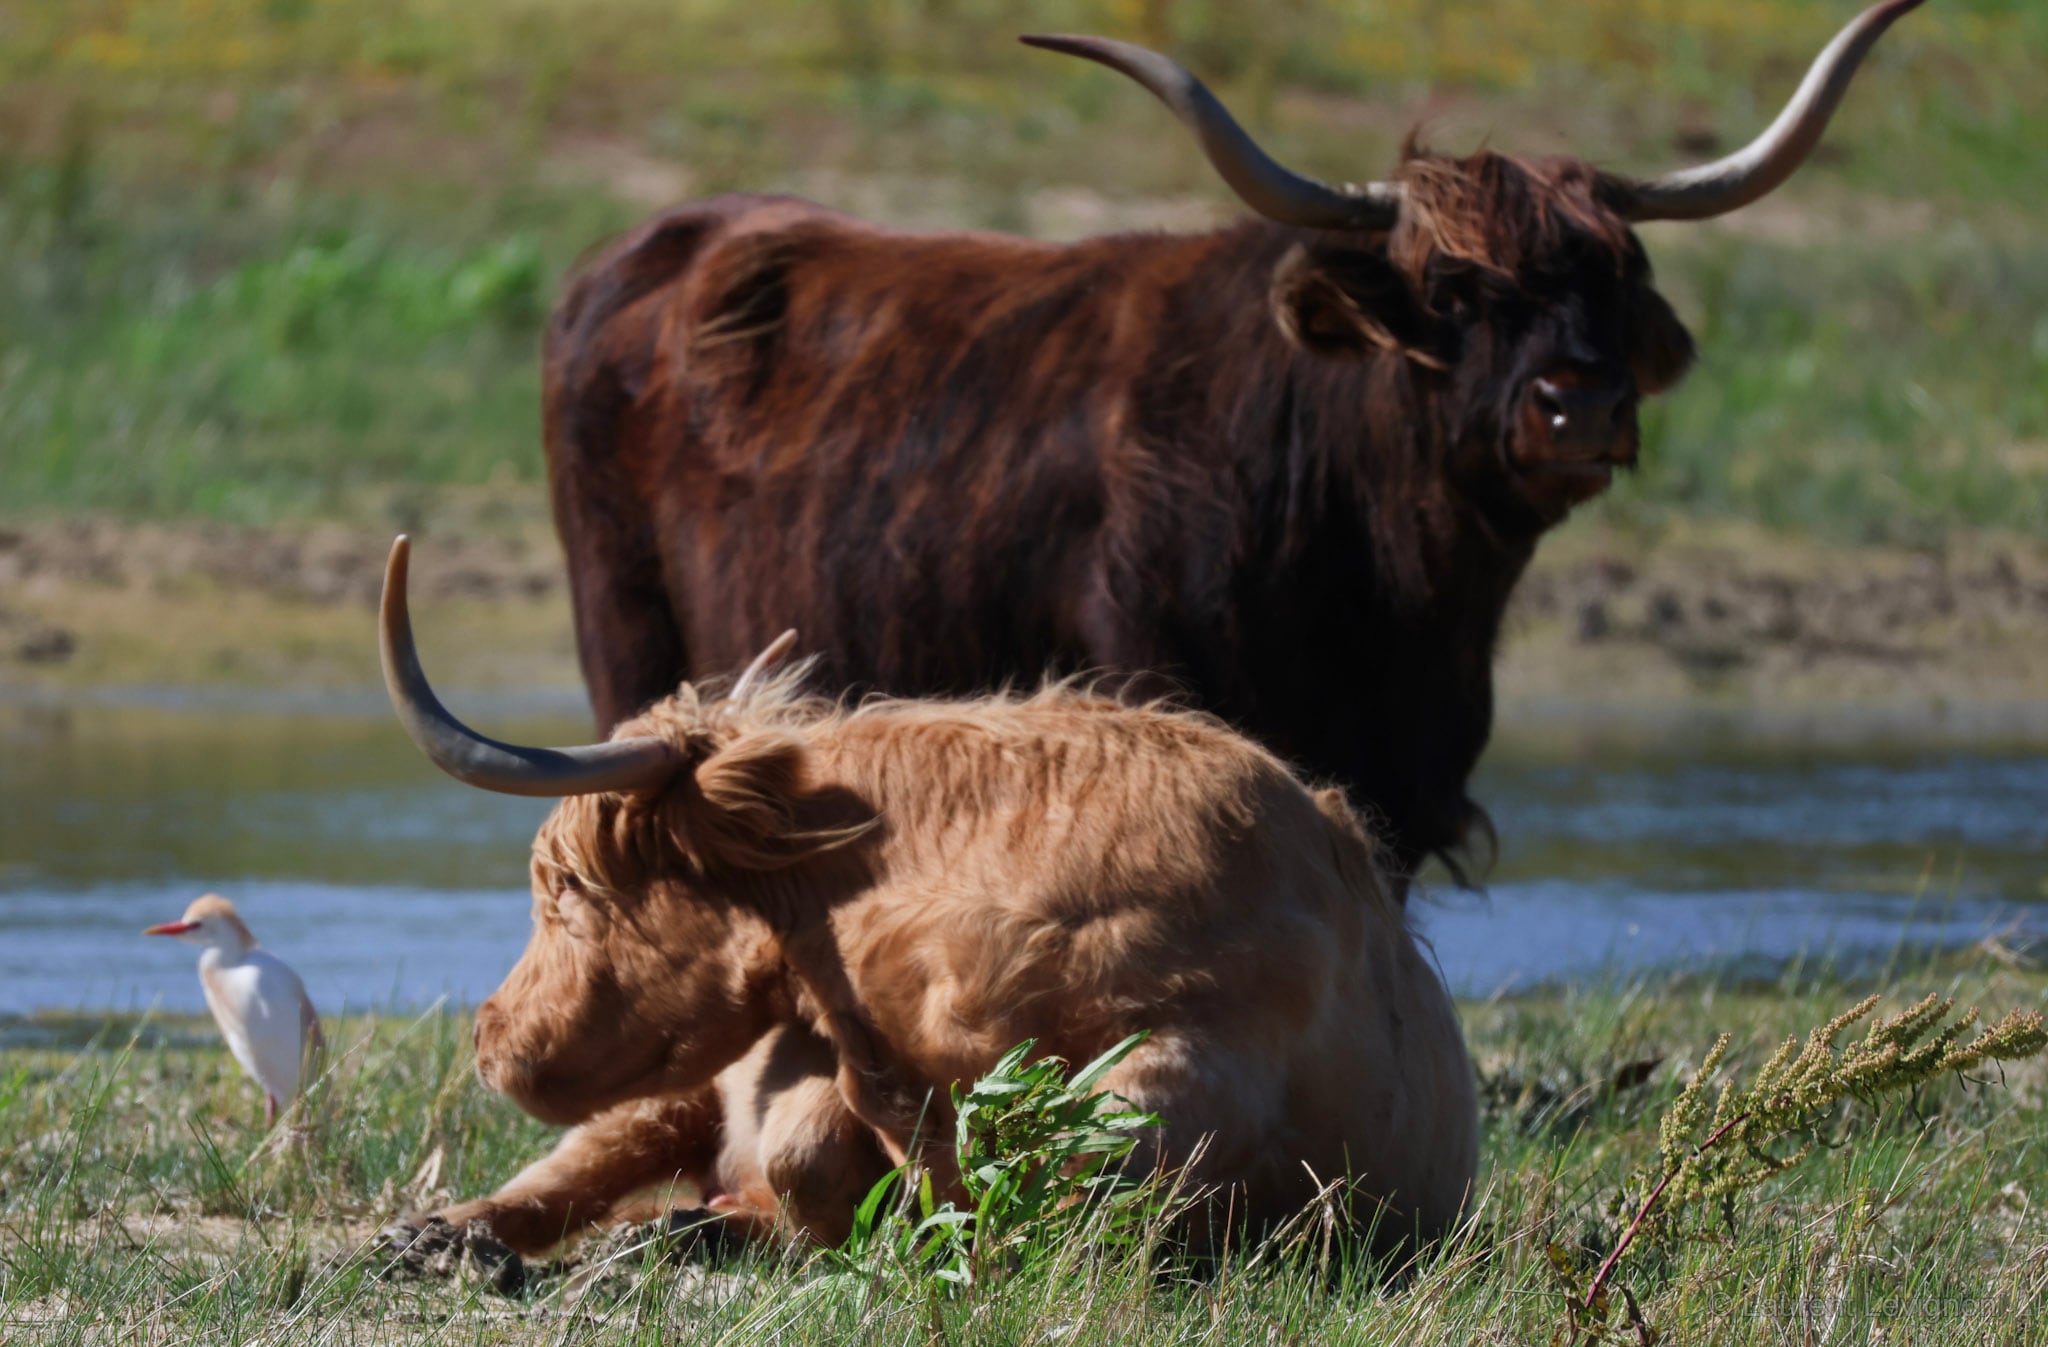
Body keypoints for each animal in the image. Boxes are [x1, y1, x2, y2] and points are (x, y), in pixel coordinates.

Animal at [377, 536, 1477, 1260]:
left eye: (561, 882)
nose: (488, 1034)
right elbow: (811, 1148)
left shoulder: (1193, 1069)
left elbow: (1069, 1184)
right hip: (669, 1098)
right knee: (566, 1175)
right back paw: (430, 1239)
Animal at [542, 1, 1925, 890]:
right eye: (1454, 290)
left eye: (1616, 274)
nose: (1576, 406)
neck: (1388, 590)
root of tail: (658, 240)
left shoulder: (1402, 770)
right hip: (628, 640)